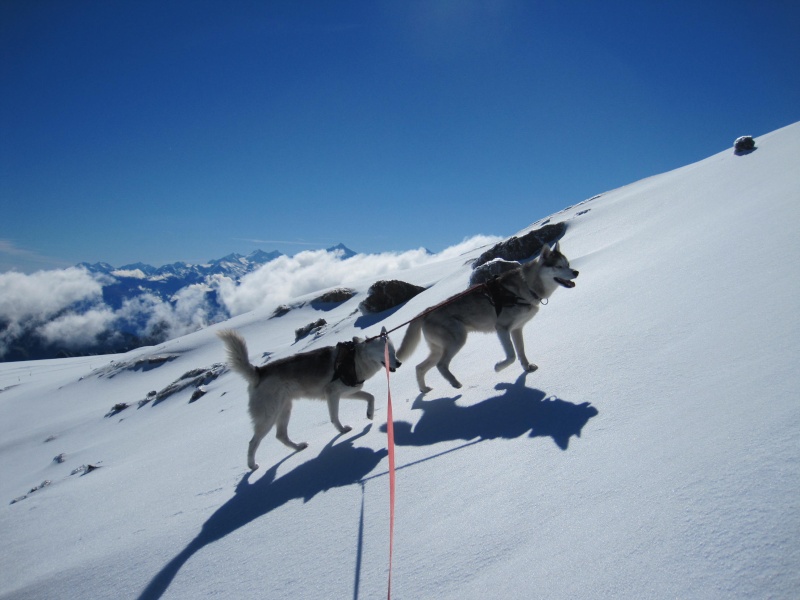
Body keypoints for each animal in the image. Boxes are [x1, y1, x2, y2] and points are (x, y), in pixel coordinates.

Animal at [217, 328, 398, 468]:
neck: (356, 359)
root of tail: (259, 372)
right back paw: (252, 466)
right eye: (387, 353)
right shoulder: (332, 394)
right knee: (253, 443)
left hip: (285, 410)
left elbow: (370, 397)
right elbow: (335, 417)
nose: (399, 363)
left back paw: (298, 447)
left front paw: (370, 414)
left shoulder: (347, 393)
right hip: (268, 417)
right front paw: (342, 431)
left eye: (394, 352)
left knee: (280, 436)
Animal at [396, 244, 580, 394]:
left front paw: (527, 368)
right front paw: (498, 368)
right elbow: (511, 356)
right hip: (457, 340)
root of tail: (425, 311)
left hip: (438, 348)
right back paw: (455, 383)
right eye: (559, 266)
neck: (526, 287)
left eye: (567, 264)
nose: (576, 272)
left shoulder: (517, 329)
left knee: (419, 367)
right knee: (440, 365)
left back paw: (424, 389)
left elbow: (521, 352)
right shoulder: (502, 328)